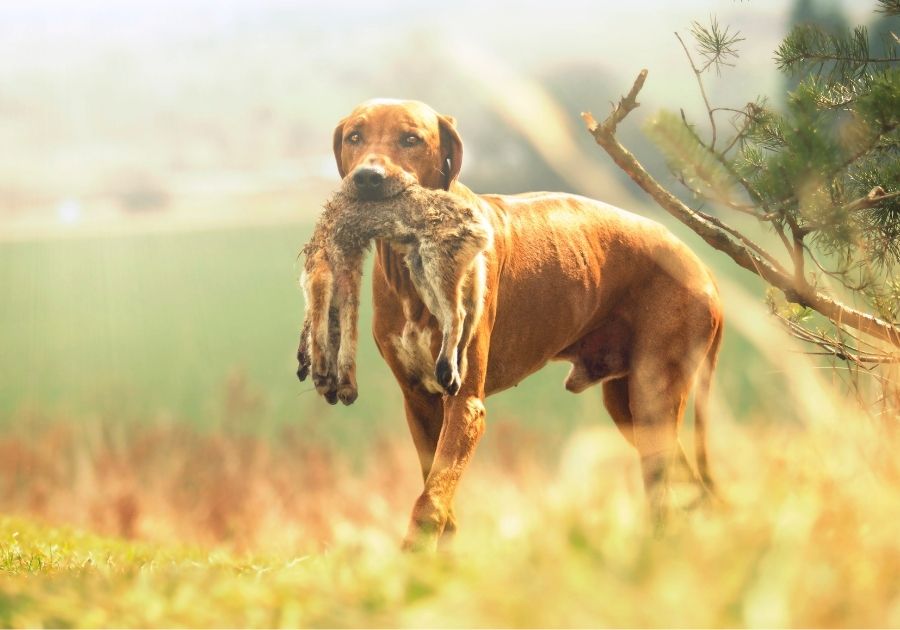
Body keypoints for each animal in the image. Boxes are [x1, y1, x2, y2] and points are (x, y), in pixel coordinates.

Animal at [302, 99, 724, 552]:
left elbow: (430, 501)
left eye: (410, 138)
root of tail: (702, 266)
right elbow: (438, 493)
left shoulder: (465, 404)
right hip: (627, 406)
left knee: (669, 488)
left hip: (652, 394)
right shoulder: (419, 403)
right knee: (686, 486)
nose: (368, 178)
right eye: (355, 136)